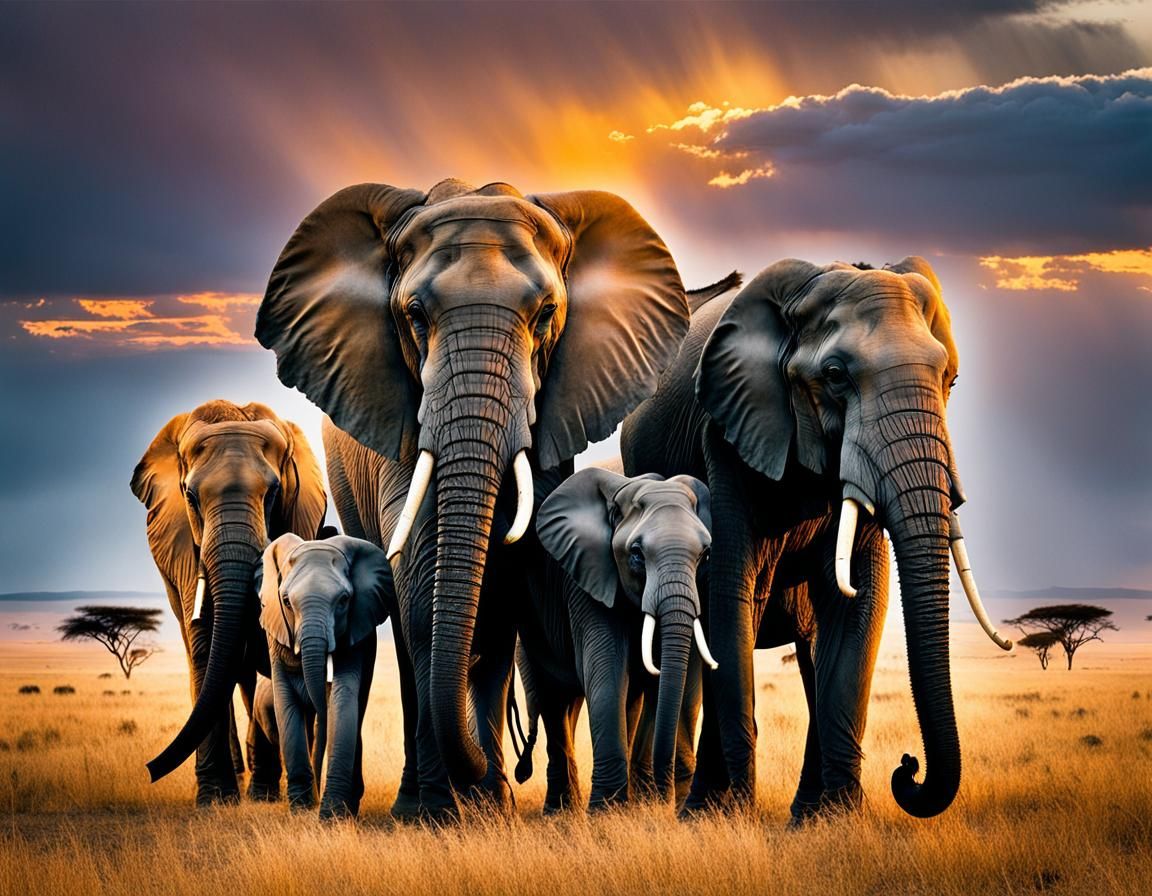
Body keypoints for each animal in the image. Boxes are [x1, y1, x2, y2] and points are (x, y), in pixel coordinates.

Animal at [130, 400, 327, 804]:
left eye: (273, 492)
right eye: (190, 496)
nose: (149, 769)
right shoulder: (182, 545)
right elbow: (205, 641)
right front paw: (214, 798)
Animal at [257, 533, 392, 818]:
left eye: (343, 600)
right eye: (286, 601)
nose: (316, 801)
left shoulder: (355, 632)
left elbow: (342, 700)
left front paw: (332, 816)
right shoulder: (276, 633)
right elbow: (286, 703)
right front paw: (300, 810)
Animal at [514, 467, 716, 812]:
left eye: (705, 555)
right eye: (636, 554)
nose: (668, 791)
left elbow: (683, 674)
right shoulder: (585, 576)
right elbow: (607, 669)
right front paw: (606, 811)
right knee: (551, 696)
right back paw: (560, 810)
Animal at [622, 258, 1011, 821]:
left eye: (950, 379)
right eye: (834, 376)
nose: (907, 766)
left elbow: (856, 605)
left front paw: (834, 818)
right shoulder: (727, 437)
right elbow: (733, 595)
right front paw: (730, 817)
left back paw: (804, 807)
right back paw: (704, 805)